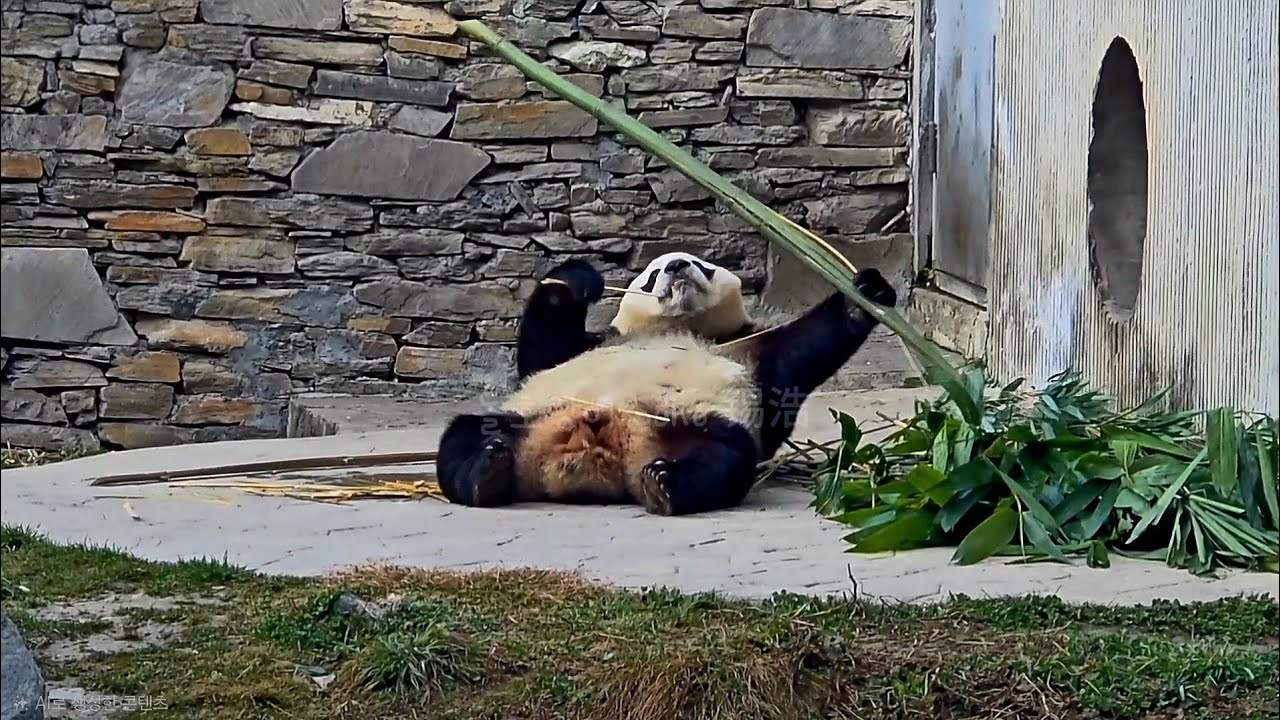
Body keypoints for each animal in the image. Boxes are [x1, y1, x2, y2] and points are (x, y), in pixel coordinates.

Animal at [437, 252, 897, 516]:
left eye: (705, 266)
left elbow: (800, 351)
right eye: (652, 273)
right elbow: (541, 351)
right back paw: (486, 470)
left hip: (688, 423)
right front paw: (580, 280)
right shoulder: (590, 345)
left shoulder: (748, 352)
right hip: (529, 416)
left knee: (725, 455)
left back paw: (665, 483)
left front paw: (866, 292)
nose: (677, 268)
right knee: (463, 435)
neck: (681, 323)